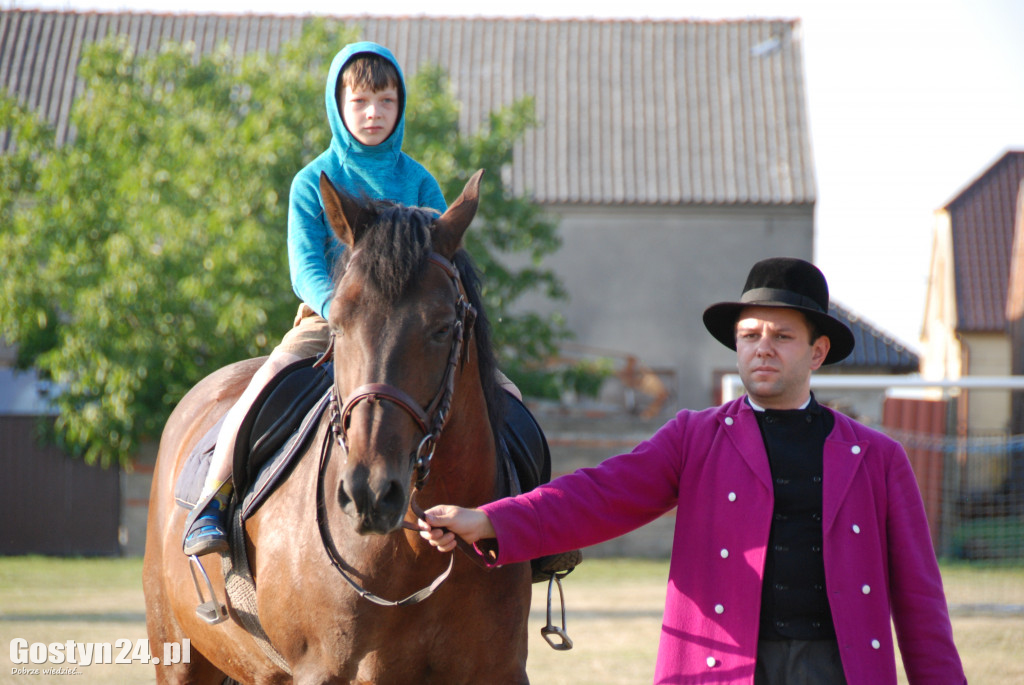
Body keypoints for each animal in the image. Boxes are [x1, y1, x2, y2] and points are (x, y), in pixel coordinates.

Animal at [143, 172, 532, 683]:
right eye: (340, 324)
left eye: (442, 327)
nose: (370, 492)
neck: (415, 556)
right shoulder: (323, 671)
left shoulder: (501, 671)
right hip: (179, 657)